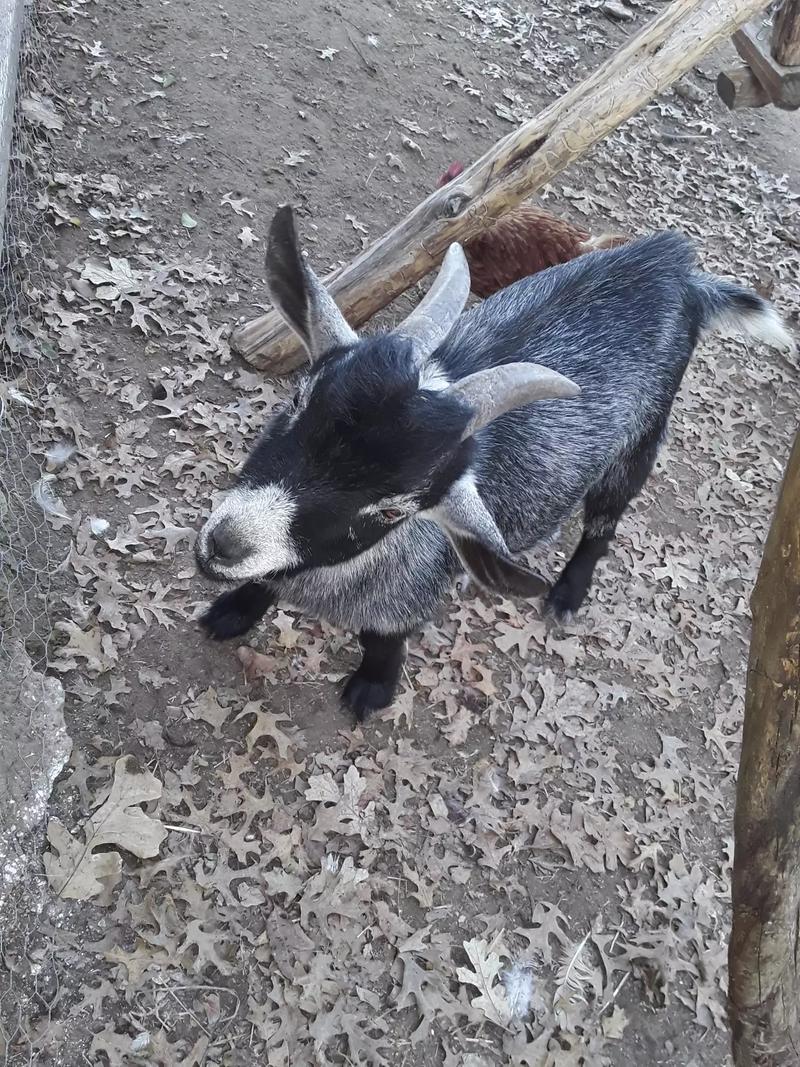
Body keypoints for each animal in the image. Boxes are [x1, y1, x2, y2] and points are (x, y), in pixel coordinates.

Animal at [196, 205, 794, 720]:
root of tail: (674, 268)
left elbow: (384, 636)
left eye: (392, 511)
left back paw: (566, 596)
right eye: (299, 401)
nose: (224, 543)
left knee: (604, 521)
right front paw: (232, 611)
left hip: (641, 438)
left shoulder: (411, 590)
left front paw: (371, 689)